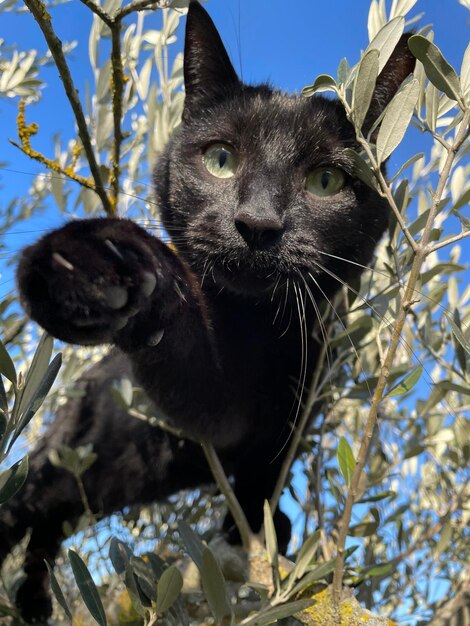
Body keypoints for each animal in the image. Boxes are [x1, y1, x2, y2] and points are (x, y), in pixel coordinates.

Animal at [0, 3, 414, 620]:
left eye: (327, 180)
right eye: (221, 159)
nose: (258, 223)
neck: (259, 331)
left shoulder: (295, 405)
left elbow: (265, 474)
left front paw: (260, 528)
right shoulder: (204, 411)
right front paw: (88, 263)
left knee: (50, 526)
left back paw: (34, 600)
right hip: (66, 457)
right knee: (23, 508)